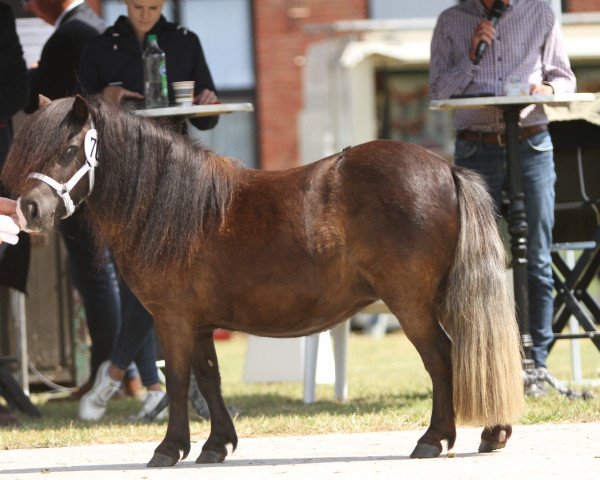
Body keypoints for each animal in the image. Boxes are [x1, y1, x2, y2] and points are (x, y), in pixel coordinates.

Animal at [2, 95, 524, 466]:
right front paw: (217, 445)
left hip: (410, 302)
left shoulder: (172, 319)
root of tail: (446, 168)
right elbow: (208, 378)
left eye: (70, 150)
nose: (29, 210)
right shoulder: (199, 323)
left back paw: (435, 439)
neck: (172, 208)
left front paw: (169, 449)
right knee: (470, 351)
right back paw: (491, 432)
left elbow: (179, 381)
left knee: (441, 357)